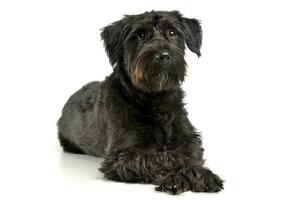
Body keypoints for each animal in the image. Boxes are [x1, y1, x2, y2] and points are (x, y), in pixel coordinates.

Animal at [56, 10, 223, 195]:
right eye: (139, 36)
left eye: (172, 32)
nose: (163, 55)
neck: (155, 98)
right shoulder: (122, 156)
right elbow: (162, 158)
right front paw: (175, 178)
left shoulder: (189, 140)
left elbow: (191, 156)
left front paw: (201, 174)